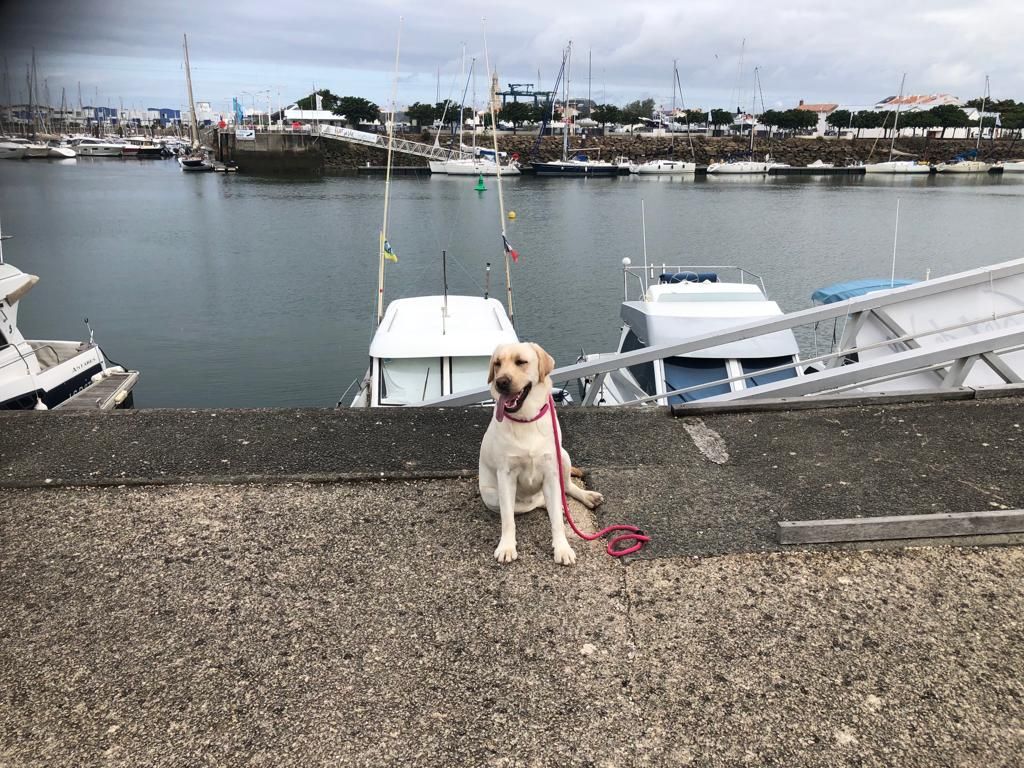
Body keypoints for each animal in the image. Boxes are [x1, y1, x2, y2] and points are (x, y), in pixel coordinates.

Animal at [477, 342, 602, 565]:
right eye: (497, 364)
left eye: (521, 362)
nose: (501, 382)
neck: (526, 419)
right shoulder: (506, 475)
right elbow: (508, 519)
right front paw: (506, 546)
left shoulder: (551, 471)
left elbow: (558, 522)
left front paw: (562, 548)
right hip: (492, 496)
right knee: (530, 505)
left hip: (563, 456)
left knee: (566, 487)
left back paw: (586, 496)